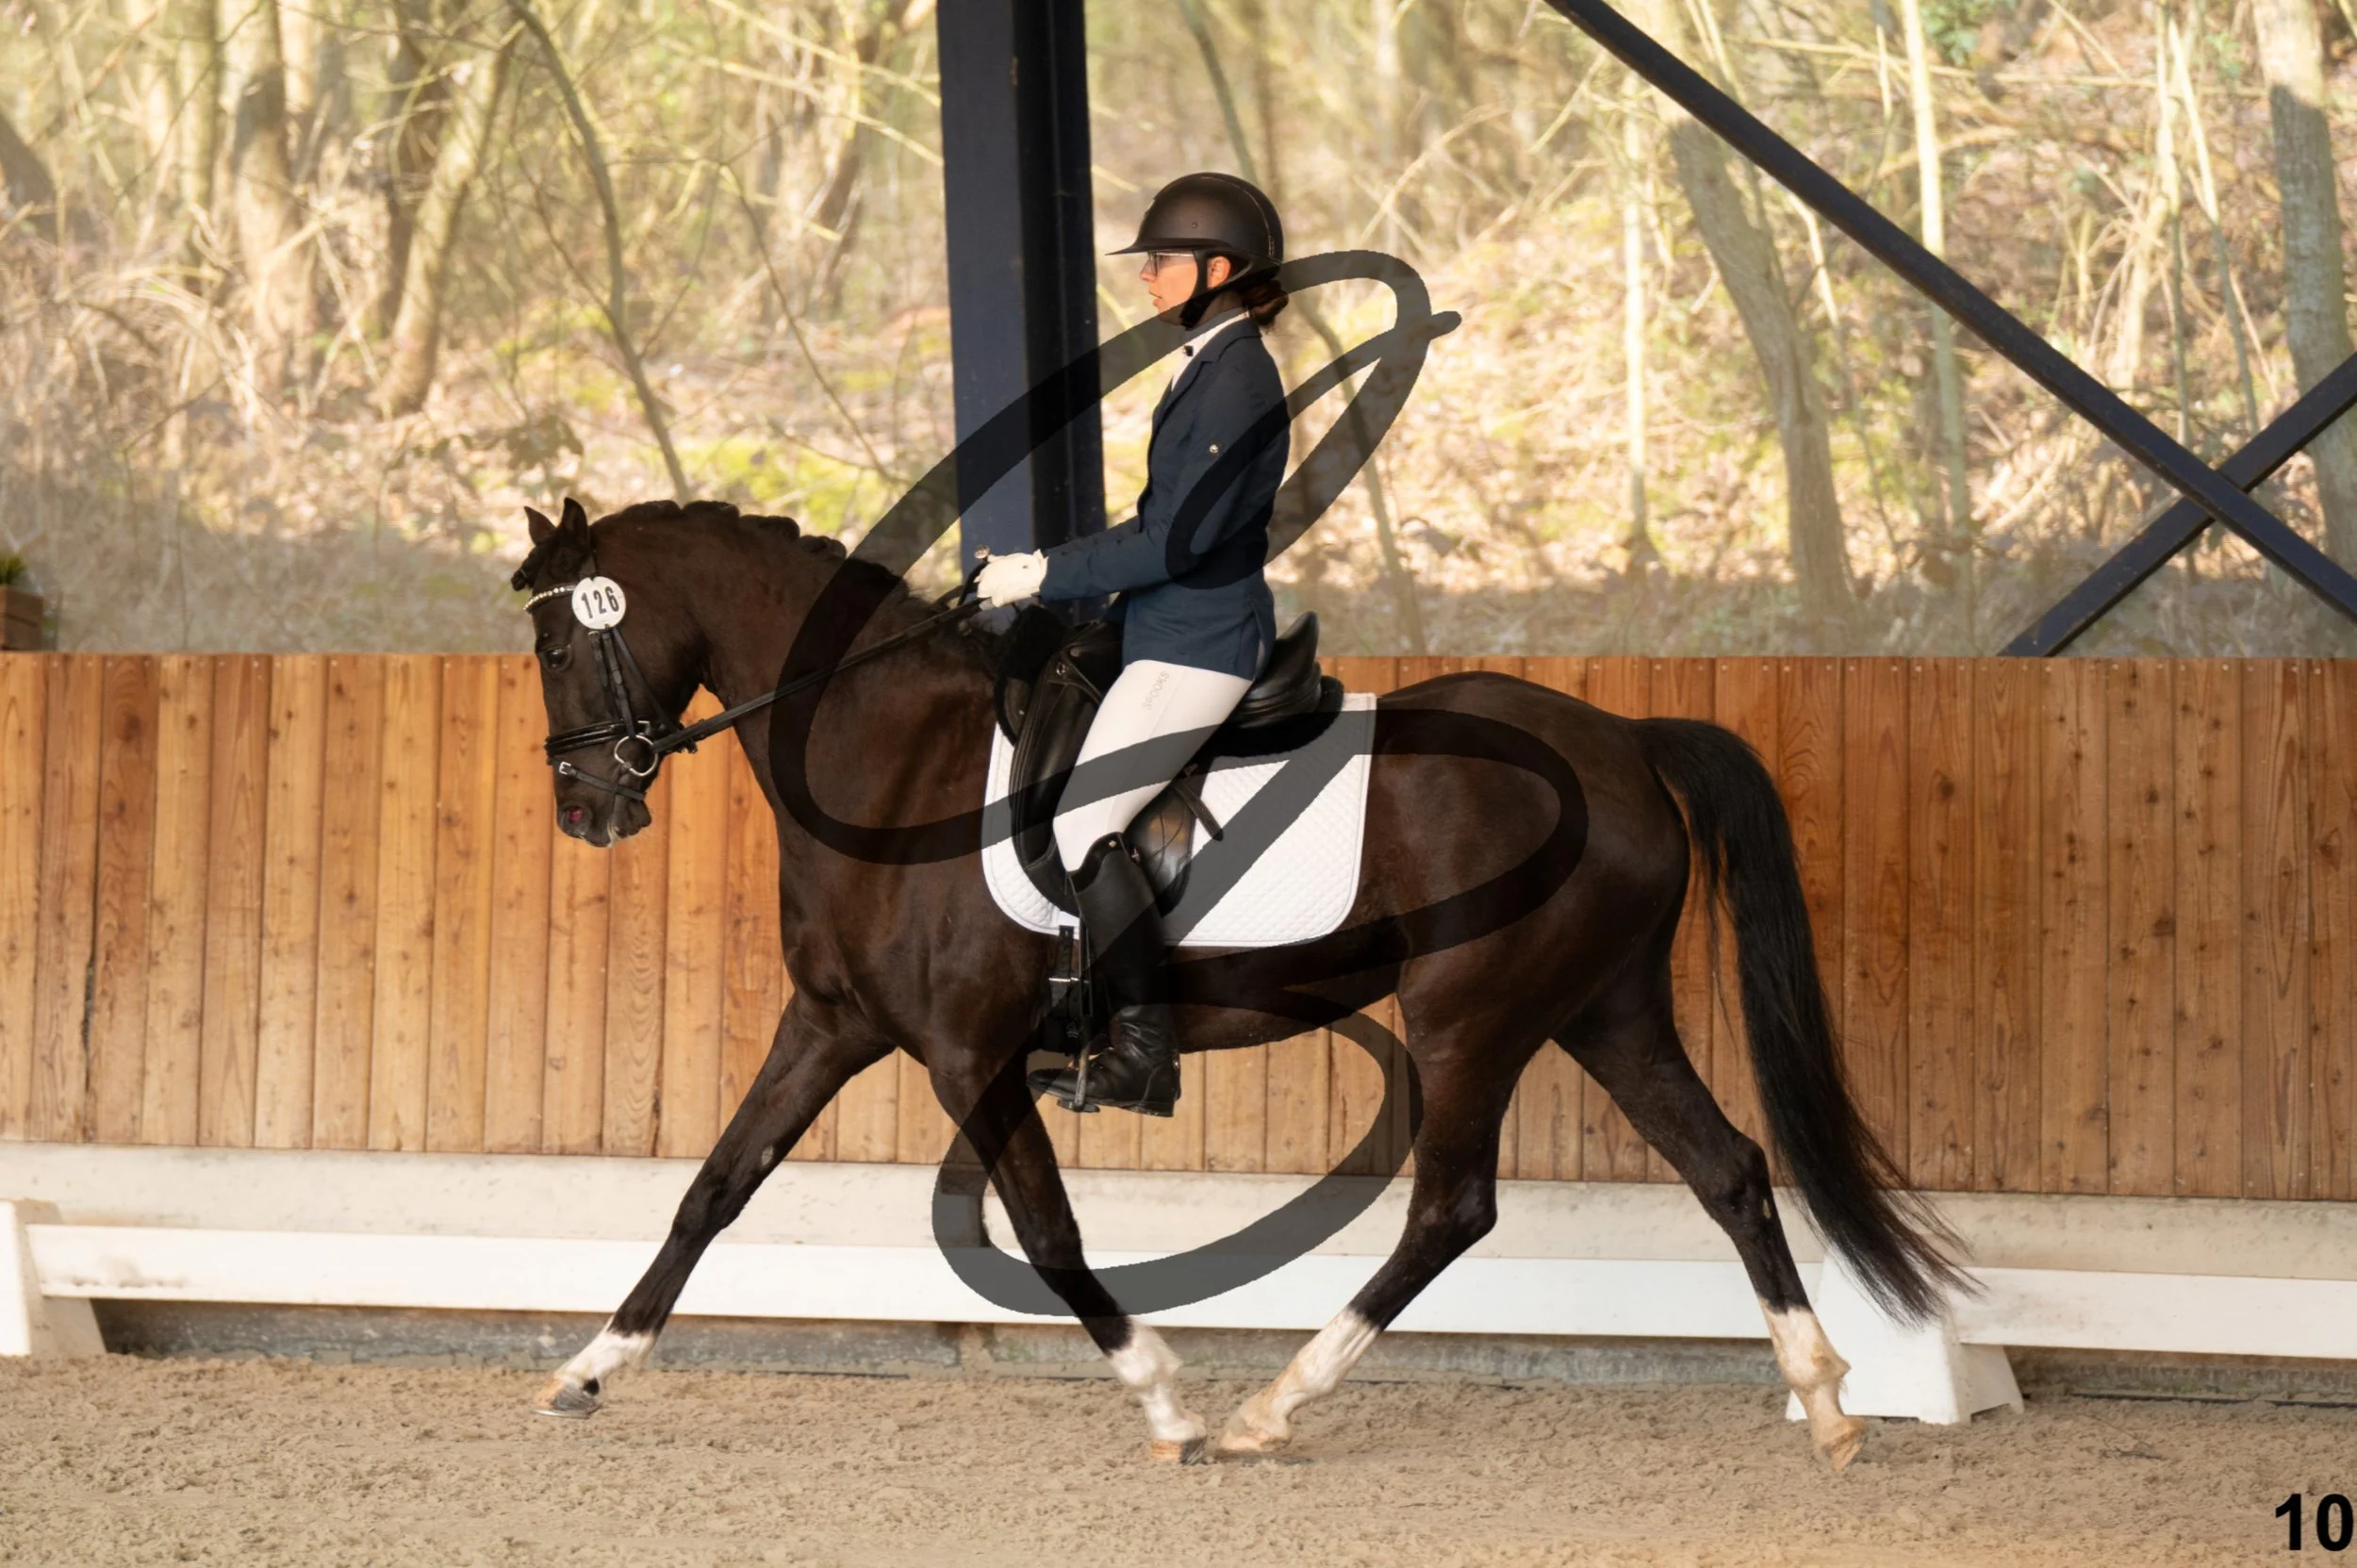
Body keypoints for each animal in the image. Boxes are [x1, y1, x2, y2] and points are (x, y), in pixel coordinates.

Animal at [513, 494, 1964, 1470]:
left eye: (557, 648)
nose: (585, 811)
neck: (894, 761)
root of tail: (1621, 740)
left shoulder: (967, 1052)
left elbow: (1049, 1234)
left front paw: (1165, 1397)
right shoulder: (833, 1025)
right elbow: (715, 1184)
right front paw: (590, 1367)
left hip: (1472, 1015)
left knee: (1452, 1207)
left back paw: (1276, 1405)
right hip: (1607, 1010)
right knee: (1729, 1168)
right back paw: (1826, 1401)